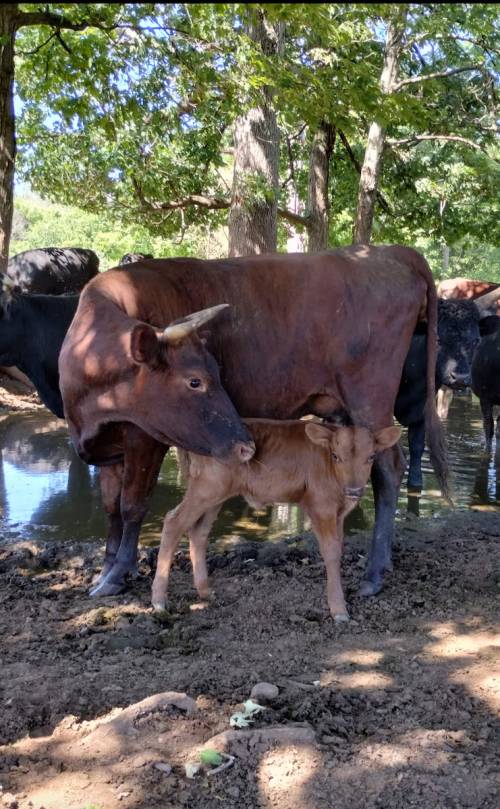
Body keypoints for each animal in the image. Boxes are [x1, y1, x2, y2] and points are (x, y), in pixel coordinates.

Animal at [58, 245, 447, 600]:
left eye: (211, 375)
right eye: (195, 380)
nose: (245, 444)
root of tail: (388, 250)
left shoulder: (145, 437)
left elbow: (132, 505)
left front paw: (117, 574)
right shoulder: (108, 447)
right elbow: (111, 507)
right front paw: (106, 570)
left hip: (370, 400)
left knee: (388, 469)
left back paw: (374, 572)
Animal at [151, 419, 401, 621]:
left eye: (371, 457)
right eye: (335, 456)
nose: (354, 490)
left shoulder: (338, 513)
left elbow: (339, 546)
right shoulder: (320, 507)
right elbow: (331, 551)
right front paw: (338, 609)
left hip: (216, 495)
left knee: (198, 531)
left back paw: (205, 591)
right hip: (206, 488)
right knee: (174, 522)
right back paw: (159, 601)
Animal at [397, 290, 500, 490]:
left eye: (476, 340)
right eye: (437, 339)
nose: (460, 378)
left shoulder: (422, 410)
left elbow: (416, 448)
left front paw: (415, 482)